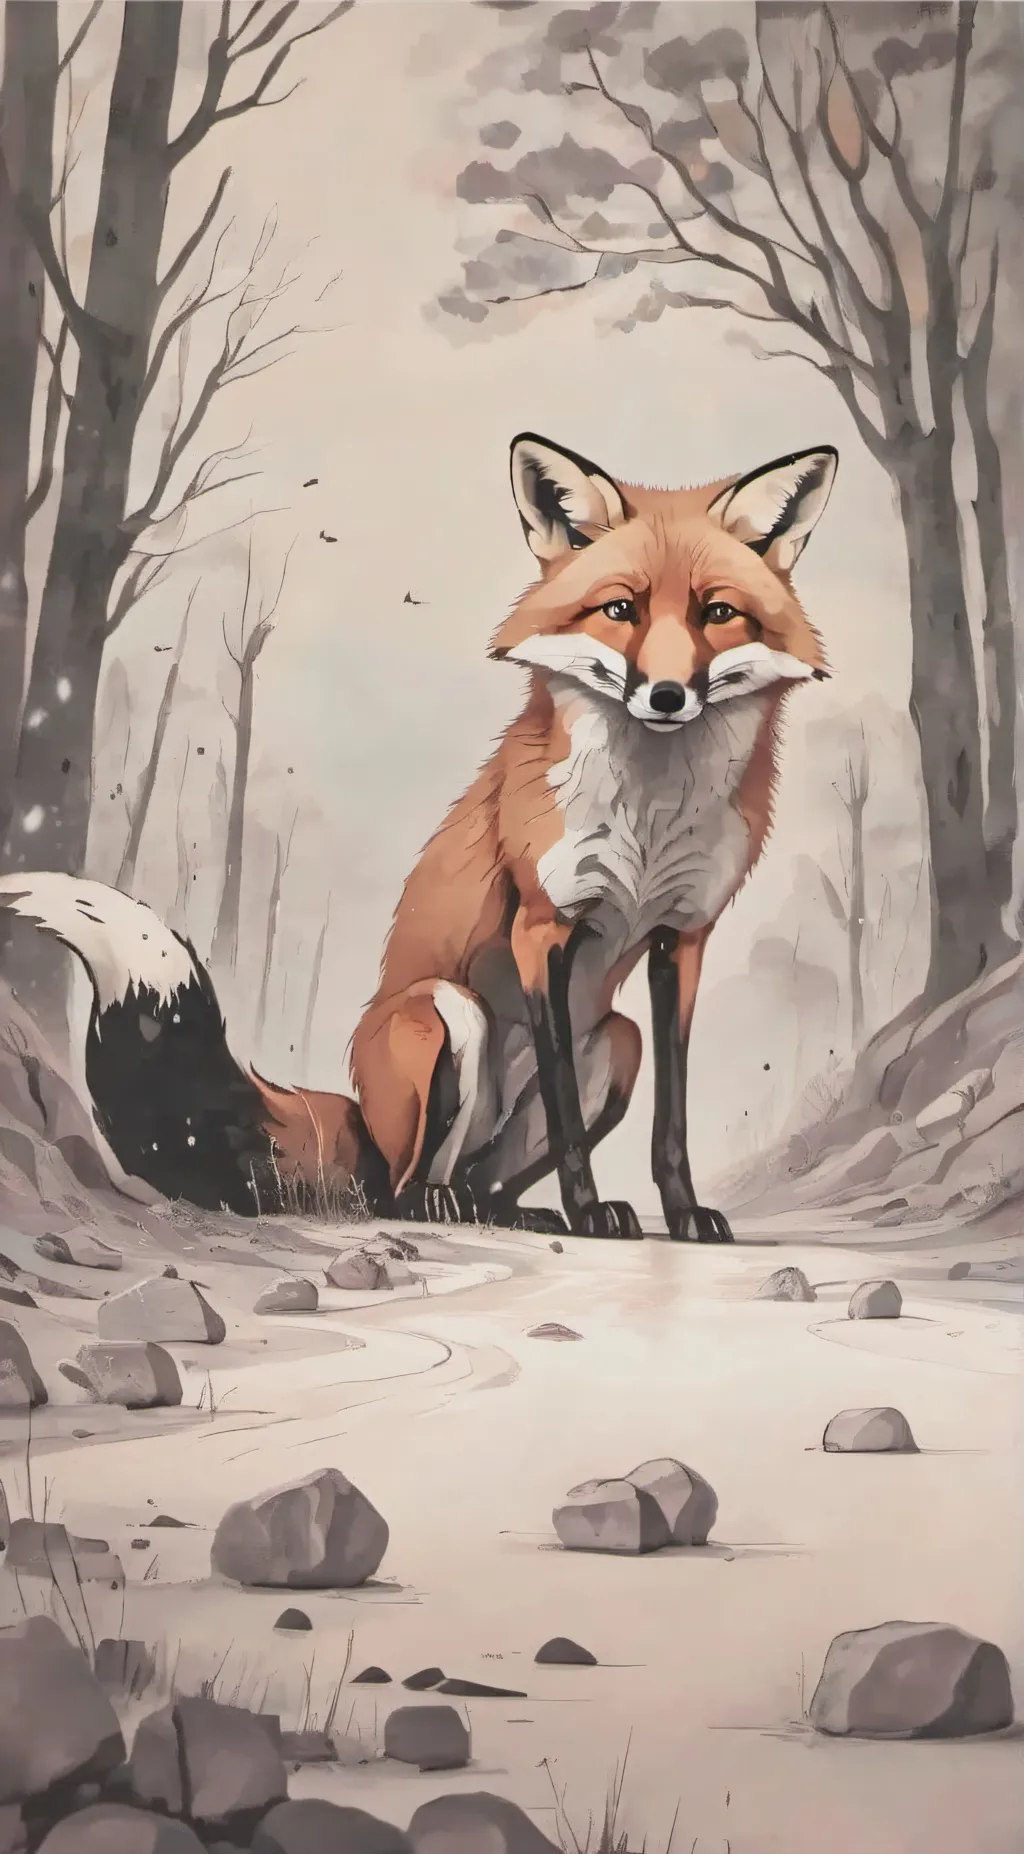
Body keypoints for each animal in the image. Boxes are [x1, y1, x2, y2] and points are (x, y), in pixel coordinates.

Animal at [0, 431, 836, 1241]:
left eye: (716, 614)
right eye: (620, 610)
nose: (666, 696)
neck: (651, 819)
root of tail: (362, 1123)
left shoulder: (682, 940)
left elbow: (673, 1117)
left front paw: (684, 1212)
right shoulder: (543, 929)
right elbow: (567, 1109)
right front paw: (591, 1211)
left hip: (616, 1042)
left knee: (487, 1183)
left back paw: (513, 1210)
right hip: (446, 1012)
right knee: (400, 1189)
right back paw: (447, 1203)